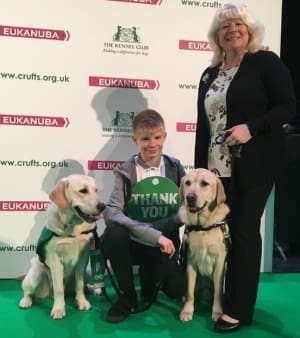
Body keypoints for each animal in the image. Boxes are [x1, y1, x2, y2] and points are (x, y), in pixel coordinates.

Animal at [18, 174, 105, 320]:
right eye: (83, 191)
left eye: (96, 190)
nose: (103, 206)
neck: (73, 227)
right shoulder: (55, 260)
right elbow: (59, 289)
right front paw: (58, 309)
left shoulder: (83, 258)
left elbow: (80, 284)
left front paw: (82, 302)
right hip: (36, 274)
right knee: (29, 291)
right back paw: (26, 301)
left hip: (87, 271)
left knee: (84, 286)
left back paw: (94, 289)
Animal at [179, 169, 231, 322]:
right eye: (187, 183)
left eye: (204, 183)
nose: (190, 197)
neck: (203, 227)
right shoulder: (190, 261)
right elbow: (190, 291)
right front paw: (187, 311)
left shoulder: (220, 262)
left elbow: (218, 292)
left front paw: (218, 312)